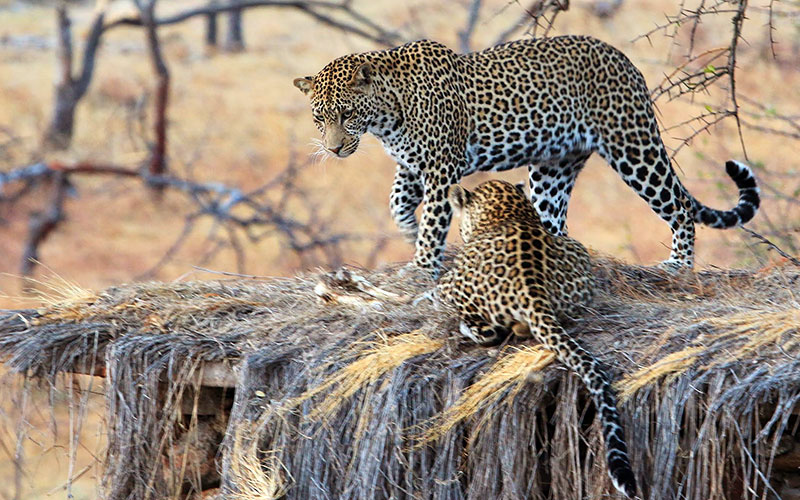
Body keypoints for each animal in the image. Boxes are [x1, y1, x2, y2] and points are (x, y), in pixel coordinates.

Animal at [296, 35, 764, 278]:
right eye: (319, 117)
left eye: (346, 114)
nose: (334, 148)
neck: (386, 115)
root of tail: (623, 58)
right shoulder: (413, 166)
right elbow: (396, 204)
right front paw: (411, 235)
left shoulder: (442, 166)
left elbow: (433, 219)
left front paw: (424, 262)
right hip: (553, 167)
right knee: (552, 218)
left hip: (632, 147)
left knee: (680, 204)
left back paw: (678, 264)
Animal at [438, 179, 636, 496]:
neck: (508, 212)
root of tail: (533, 287)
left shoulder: (446, 283)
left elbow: (436, 290)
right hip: (579, 257)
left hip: (465, 295)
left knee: (488, 331)